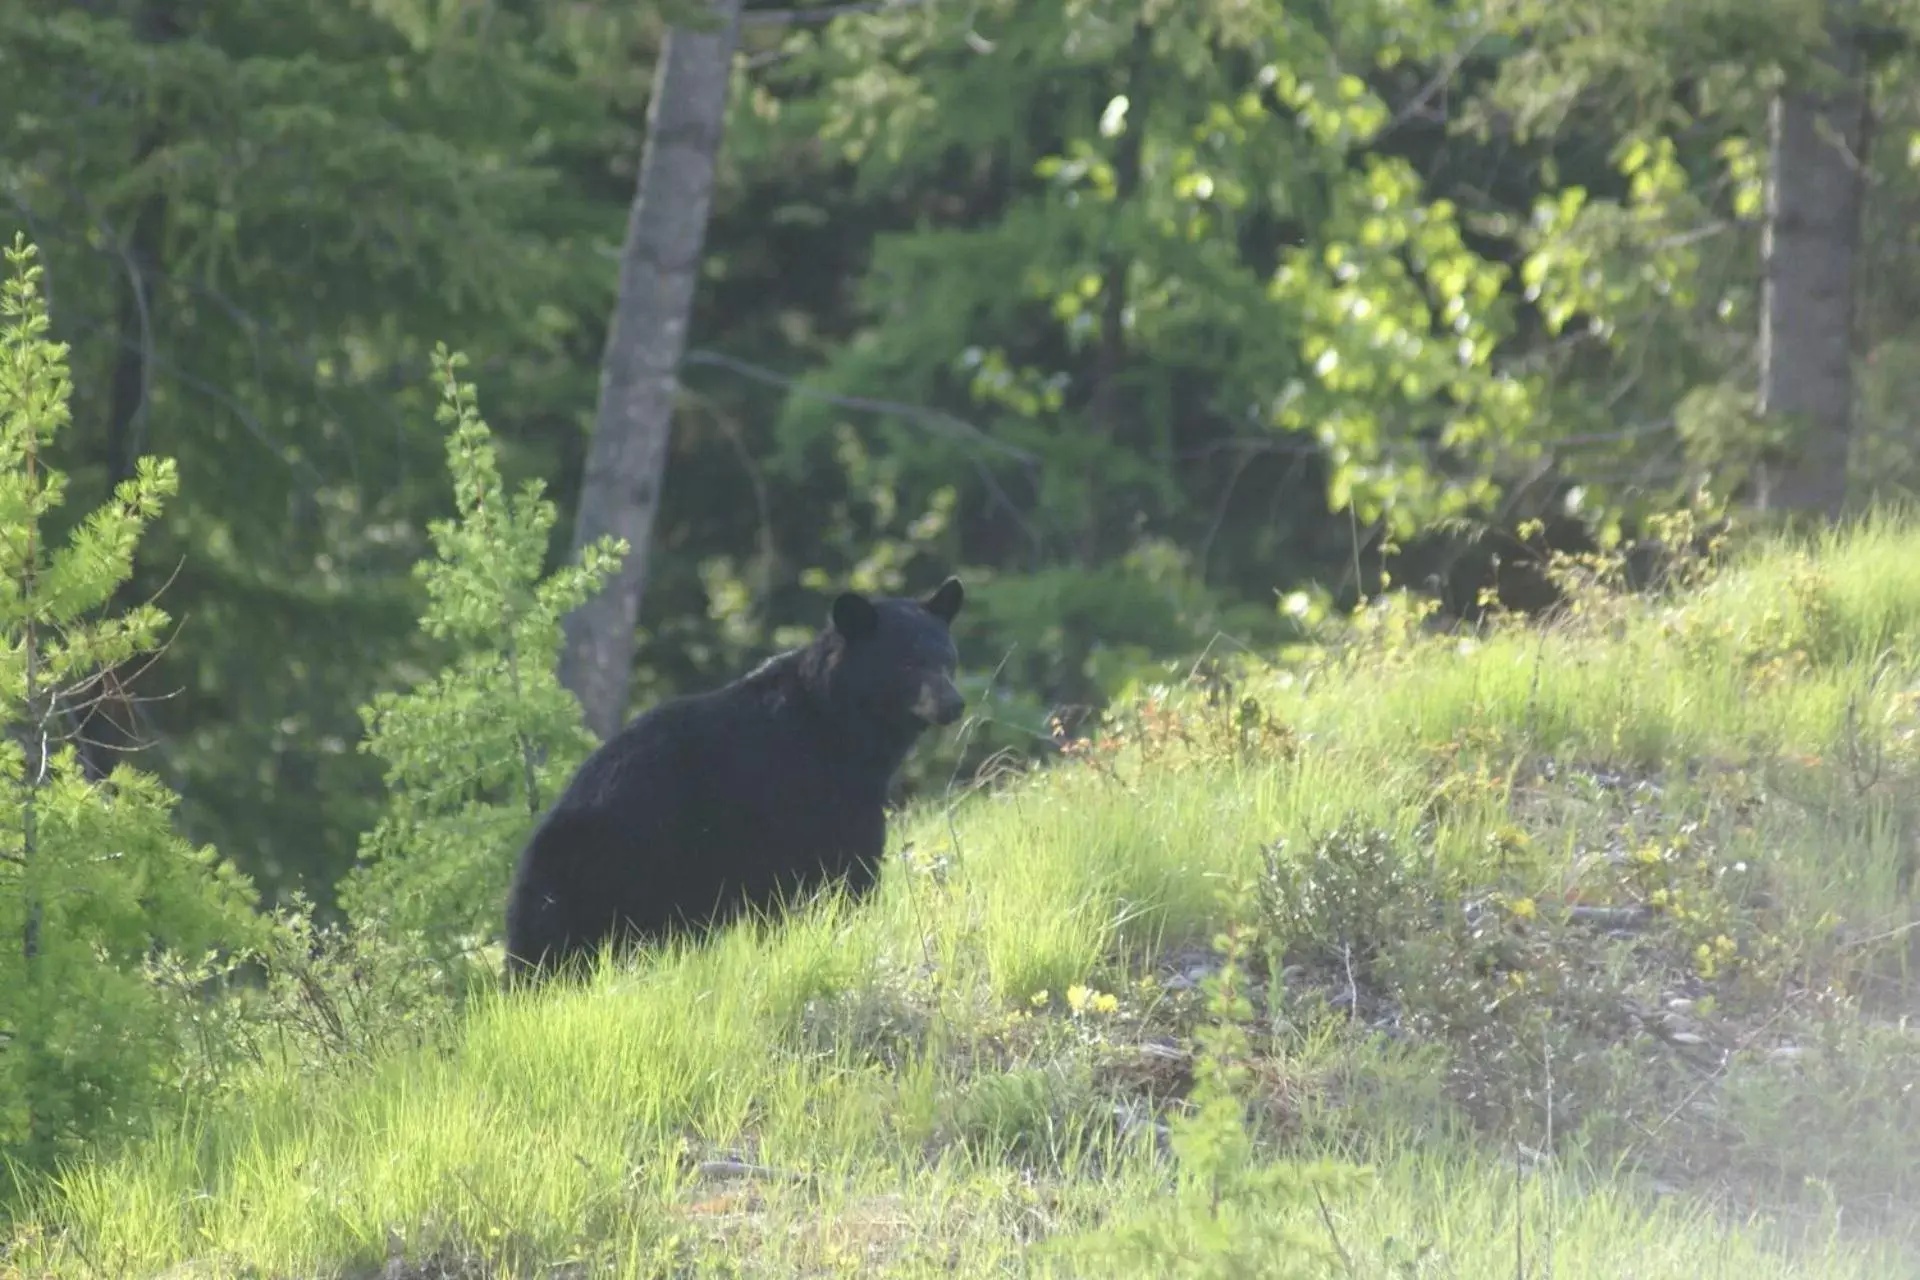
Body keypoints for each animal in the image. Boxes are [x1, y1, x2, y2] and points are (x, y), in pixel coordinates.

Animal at [503, 579, 967, 982]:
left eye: (948, 658)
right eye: (907, 661)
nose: (953, 703)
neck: (836, 725)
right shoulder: (806, 794)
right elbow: (842, 869)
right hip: (610, 872)